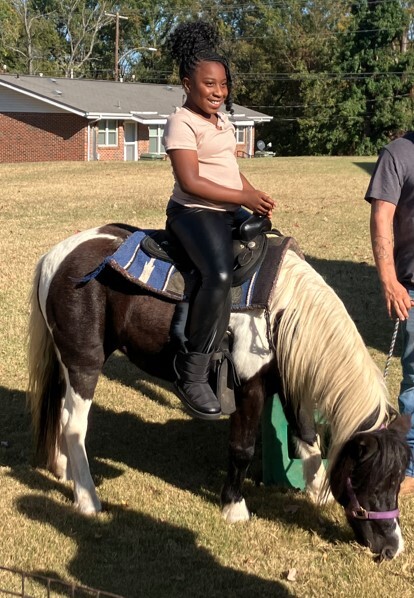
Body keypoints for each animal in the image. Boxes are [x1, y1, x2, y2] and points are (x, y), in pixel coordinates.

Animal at [27, 224, 410, 564]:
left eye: (397, 479)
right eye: (372, 480)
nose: (393, 547)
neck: (281, 307)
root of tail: (54, 257)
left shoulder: (288, 381)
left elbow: (307, 437)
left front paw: (317, 492)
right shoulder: (249, 387)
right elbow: (243, 449)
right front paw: (235, 507)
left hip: (67, 362)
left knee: (60, 412)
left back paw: (63, 470)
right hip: (85, 363)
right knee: (75, 426)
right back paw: (87, 498)